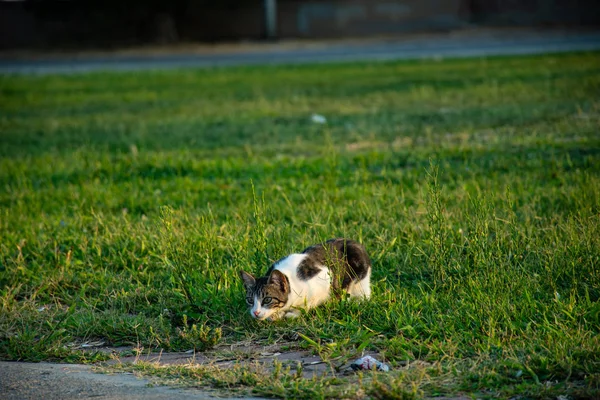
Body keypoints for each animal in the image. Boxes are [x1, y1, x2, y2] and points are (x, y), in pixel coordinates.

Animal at [239, 238, 370, 322]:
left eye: (267, 299)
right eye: (250, 300)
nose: (255, 312)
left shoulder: (324, 277)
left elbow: (308, 303)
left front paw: (294, 314)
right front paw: (276, 314)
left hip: (360, 277)